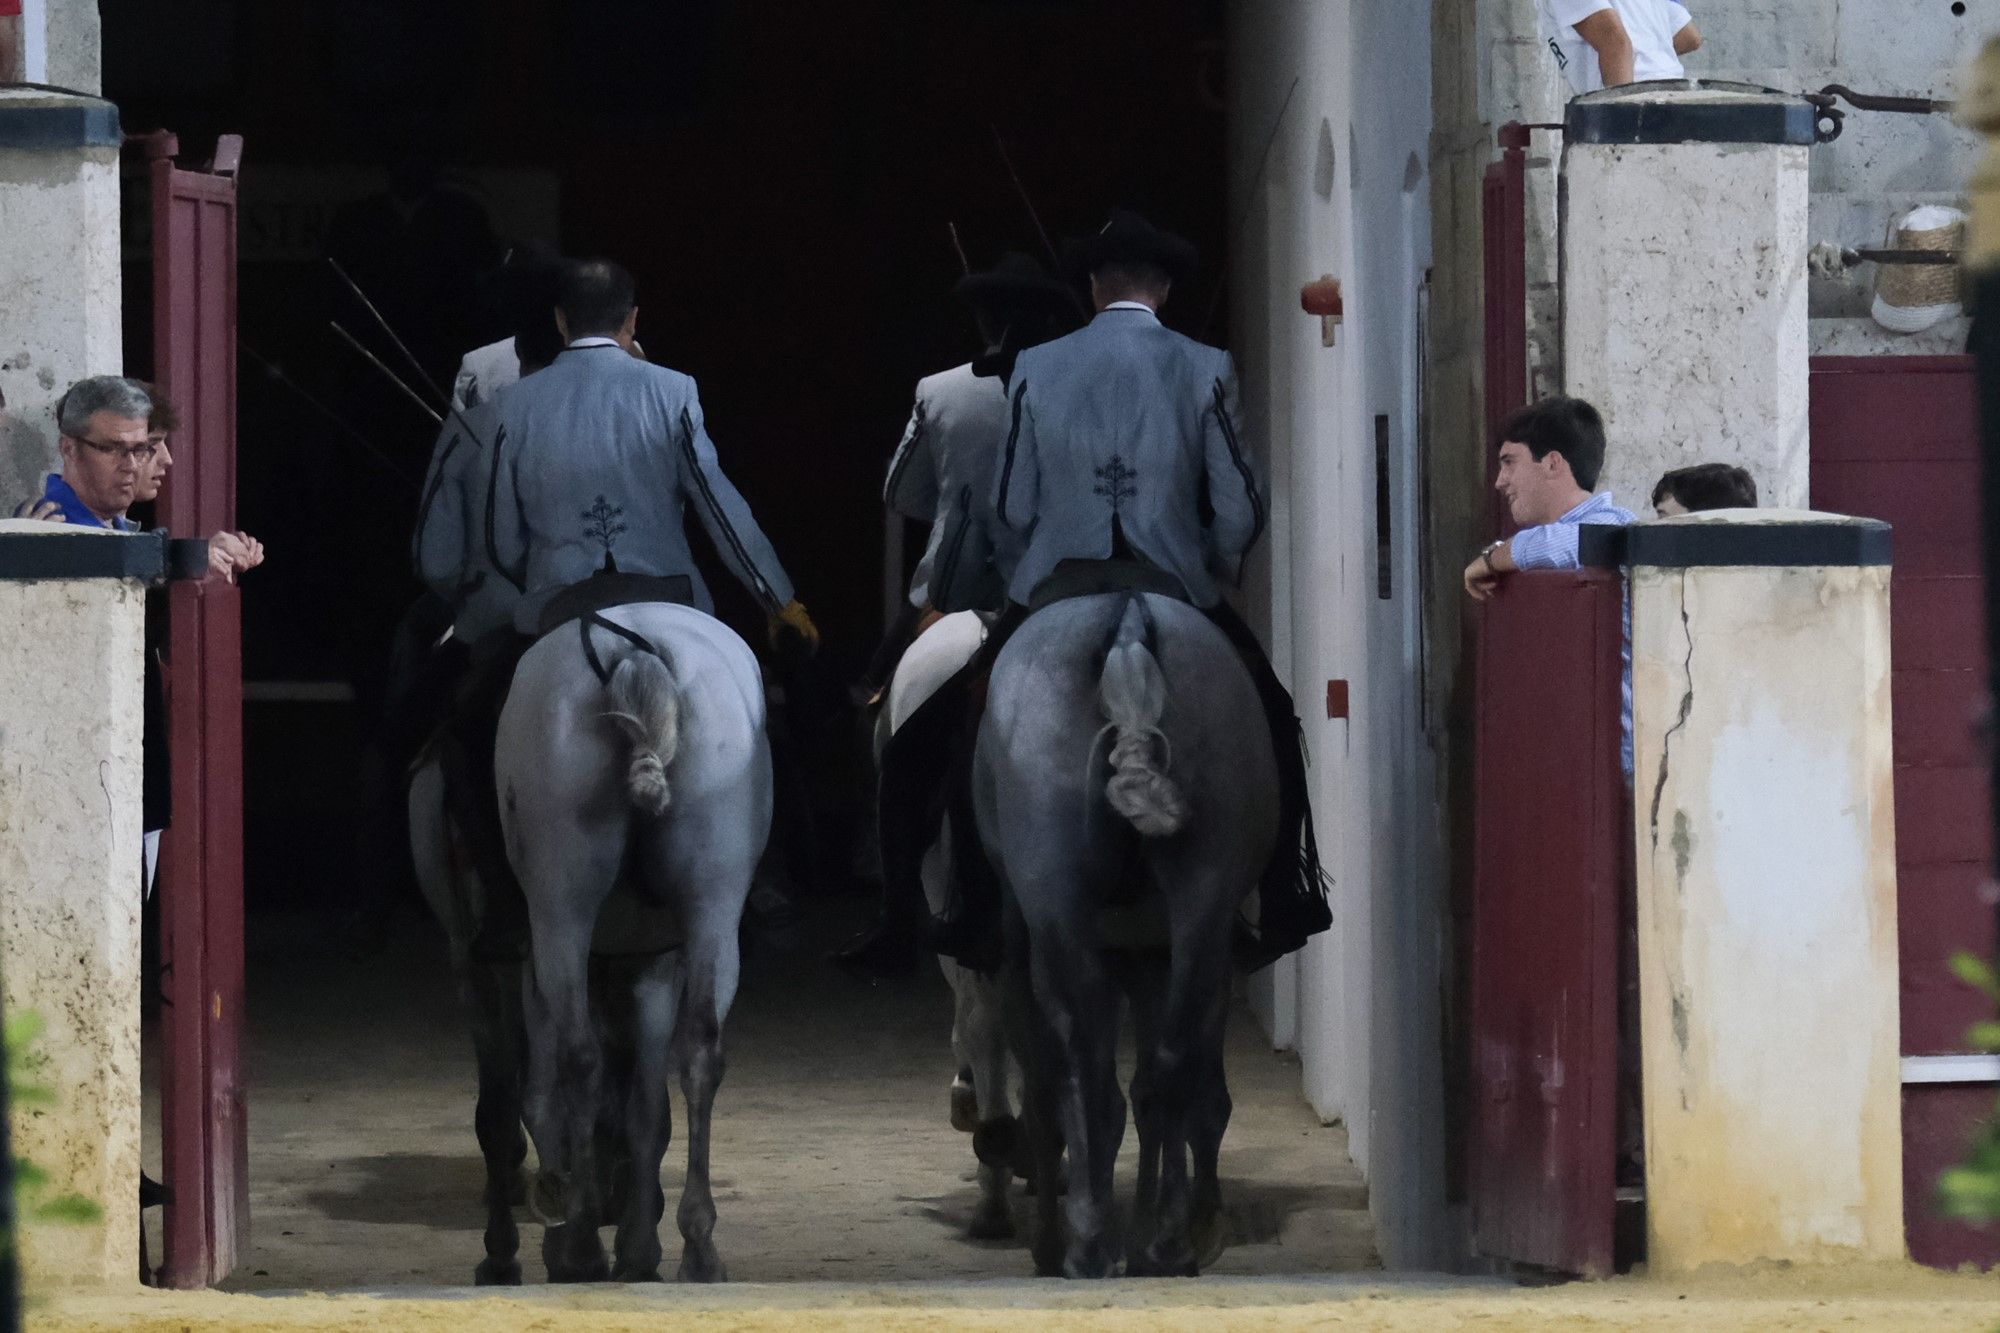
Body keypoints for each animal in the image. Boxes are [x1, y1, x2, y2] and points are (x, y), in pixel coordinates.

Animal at [494, 600, 772, 1280]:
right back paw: (697, 1247)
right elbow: (648, 1106)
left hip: (560, 911)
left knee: (577, 1057)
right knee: (698, 1052)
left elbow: (551, 1096)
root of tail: (639, 651)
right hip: (712, 902)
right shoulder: (653, 964)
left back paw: (580, 1244)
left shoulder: (544, 968)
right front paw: (641, 1242)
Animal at [972, 592, 1280, 1280]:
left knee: (1084, 1069)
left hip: (1057, 914)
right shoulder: (1151, 954)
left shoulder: (1027, 950)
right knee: (1167, 1067)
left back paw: (1087, 1243)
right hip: (1201, 906)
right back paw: (1161, 1241)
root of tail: (1128, 618)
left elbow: (1047, 1089)